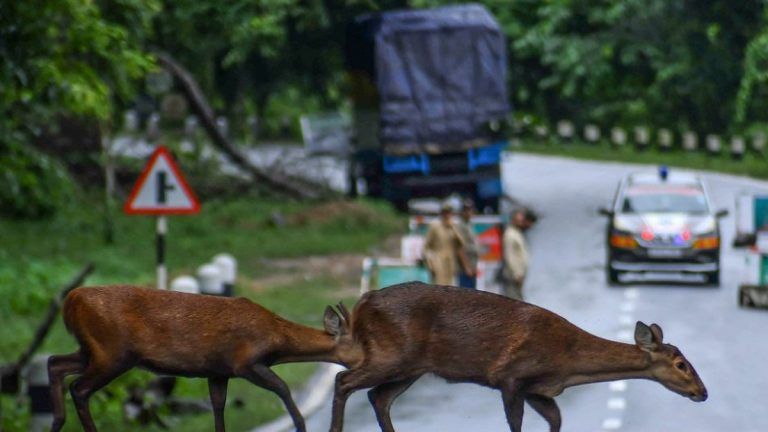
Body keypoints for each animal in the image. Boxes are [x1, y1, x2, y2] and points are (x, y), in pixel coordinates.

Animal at [48, 286, 360, 430]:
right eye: (359, 344)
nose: (364, 362)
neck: (276, 339)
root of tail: (71, 301)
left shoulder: (217, 371)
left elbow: (218, 406)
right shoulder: (245, 361)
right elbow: (282, 387)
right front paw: (301, 425)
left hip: (93, 350)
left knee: (55, 362)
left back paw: (57, 422)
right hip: (114, 352)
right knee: (79, 388)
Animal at [330, 282, 708, 430]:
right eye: (681, 364)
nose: (702, 392)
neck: (569, 364)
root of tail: (361, 304)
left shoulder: (539, 390)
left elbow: (556, 419)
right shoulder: (511, 376)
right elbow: (516, 423)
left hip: (412, 367)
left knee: (378, 397)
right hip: (393, 354)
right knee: (343, 379)